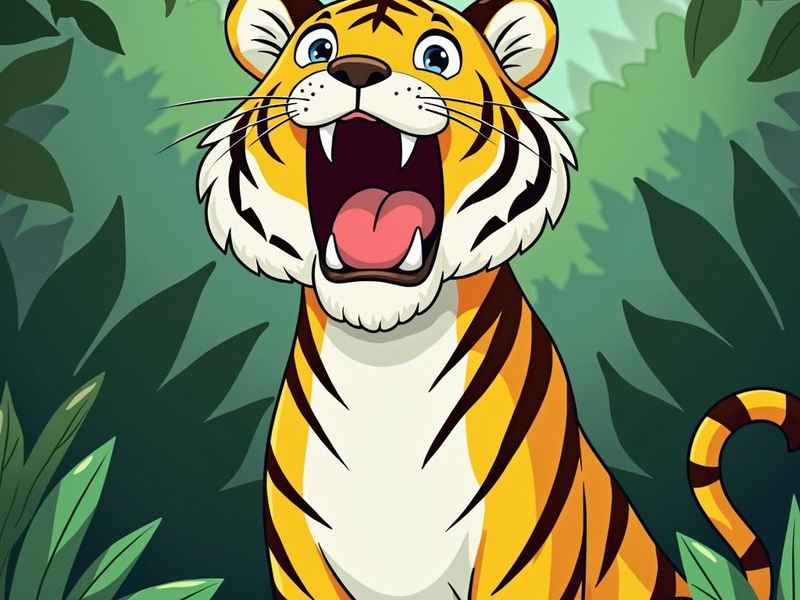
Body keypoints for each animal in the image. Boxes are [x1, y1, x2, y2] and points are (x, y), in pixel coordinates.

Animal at [195, 0, 797, 597]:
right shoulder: (302, 572)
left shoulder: (524, 556)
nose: (357, 70)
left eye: (437, 56)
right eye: (318, 48)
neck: (387, 355)